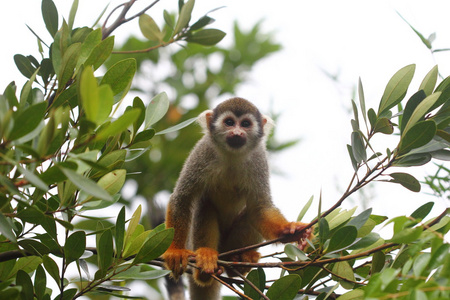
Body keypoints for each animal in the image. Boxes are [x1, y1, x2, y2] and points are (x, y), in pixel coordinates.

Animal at [163, 97, 312, 298]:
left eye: (246, 124)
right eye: (229, 122)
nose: (237, 132)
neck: (232, 155)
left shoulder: (259, 158)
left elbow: (260, 208)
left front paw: (290, 230)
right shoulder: (202, 151)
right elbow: (182, 198)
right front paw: (175, 251)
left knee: (249, 213)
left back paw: (240, 262)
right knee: (204, 204)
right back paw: (205, 264)